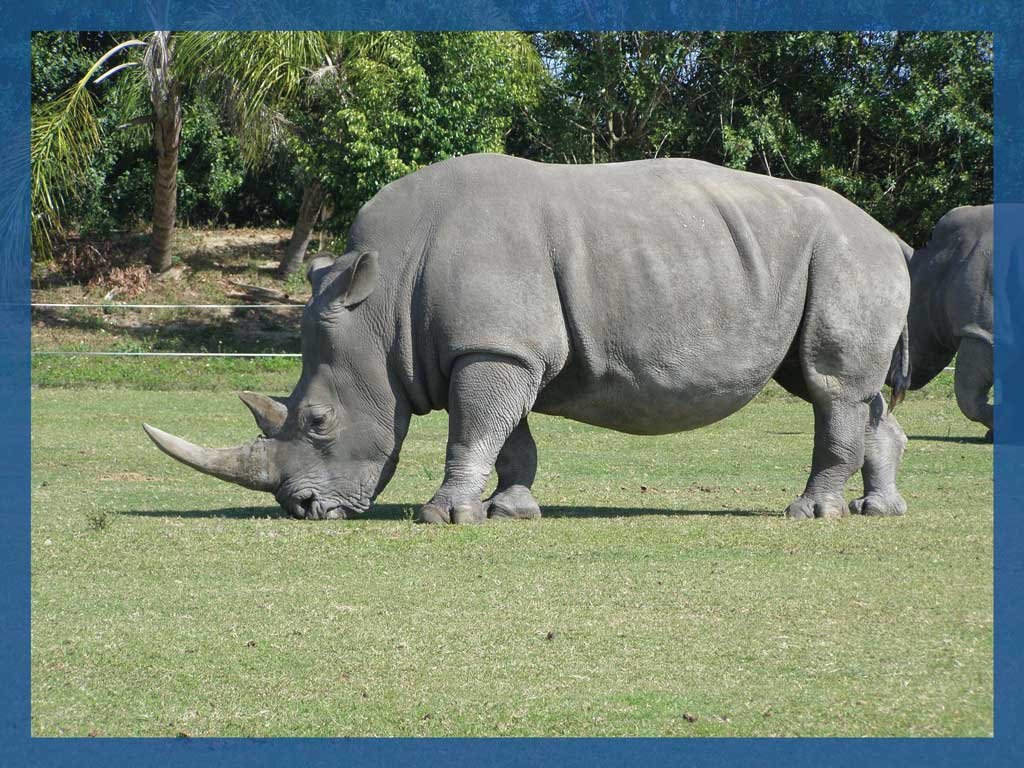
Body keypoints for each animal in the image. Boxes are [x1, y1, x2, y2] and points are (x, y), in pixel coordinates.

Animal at [144, 153, 911, 522]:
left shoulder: (492, 346)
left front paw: (443, 517)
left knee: (831, 385)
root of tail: (893, 236)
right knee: (849, 390)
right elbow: (506, 434)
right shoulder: (497, 346)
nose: (303, 510)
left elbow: (471, 428)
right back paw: (877, 511)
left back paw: (811, 514)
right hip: (832, 260)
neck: (383, 301)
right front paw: (508, 511)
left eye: (318, 421)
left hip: (847, 256)